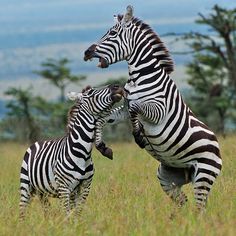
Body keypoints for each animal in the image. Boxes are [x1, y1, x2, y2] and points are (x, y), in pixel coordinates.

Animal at [19, 84, 122, 218]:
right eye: (91, 92)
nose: (117, 86)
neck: (83, 154)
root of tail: (36, 142)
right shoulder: (64, 188)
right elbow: (67, 214)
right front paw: (67, 224)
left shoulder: (85, 185)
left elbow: (77, 212)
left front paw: (77, 223)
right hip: (25, 184)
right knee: (22, 210)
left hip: (42, 191)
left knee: (46, 210)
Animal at [84, 5, 222, 208]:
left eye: (112, 33)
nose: (86, 52)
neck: (139, 76)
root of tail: (218, 145)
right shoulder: (125, 108)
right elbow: (104, 118)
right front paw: (102, 146)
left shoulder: (158, 110)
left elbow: (136, 109)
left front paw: (139, 136)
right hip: (168, 176)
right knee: (184, 203)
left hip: (204, 174)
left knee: (199, 207)